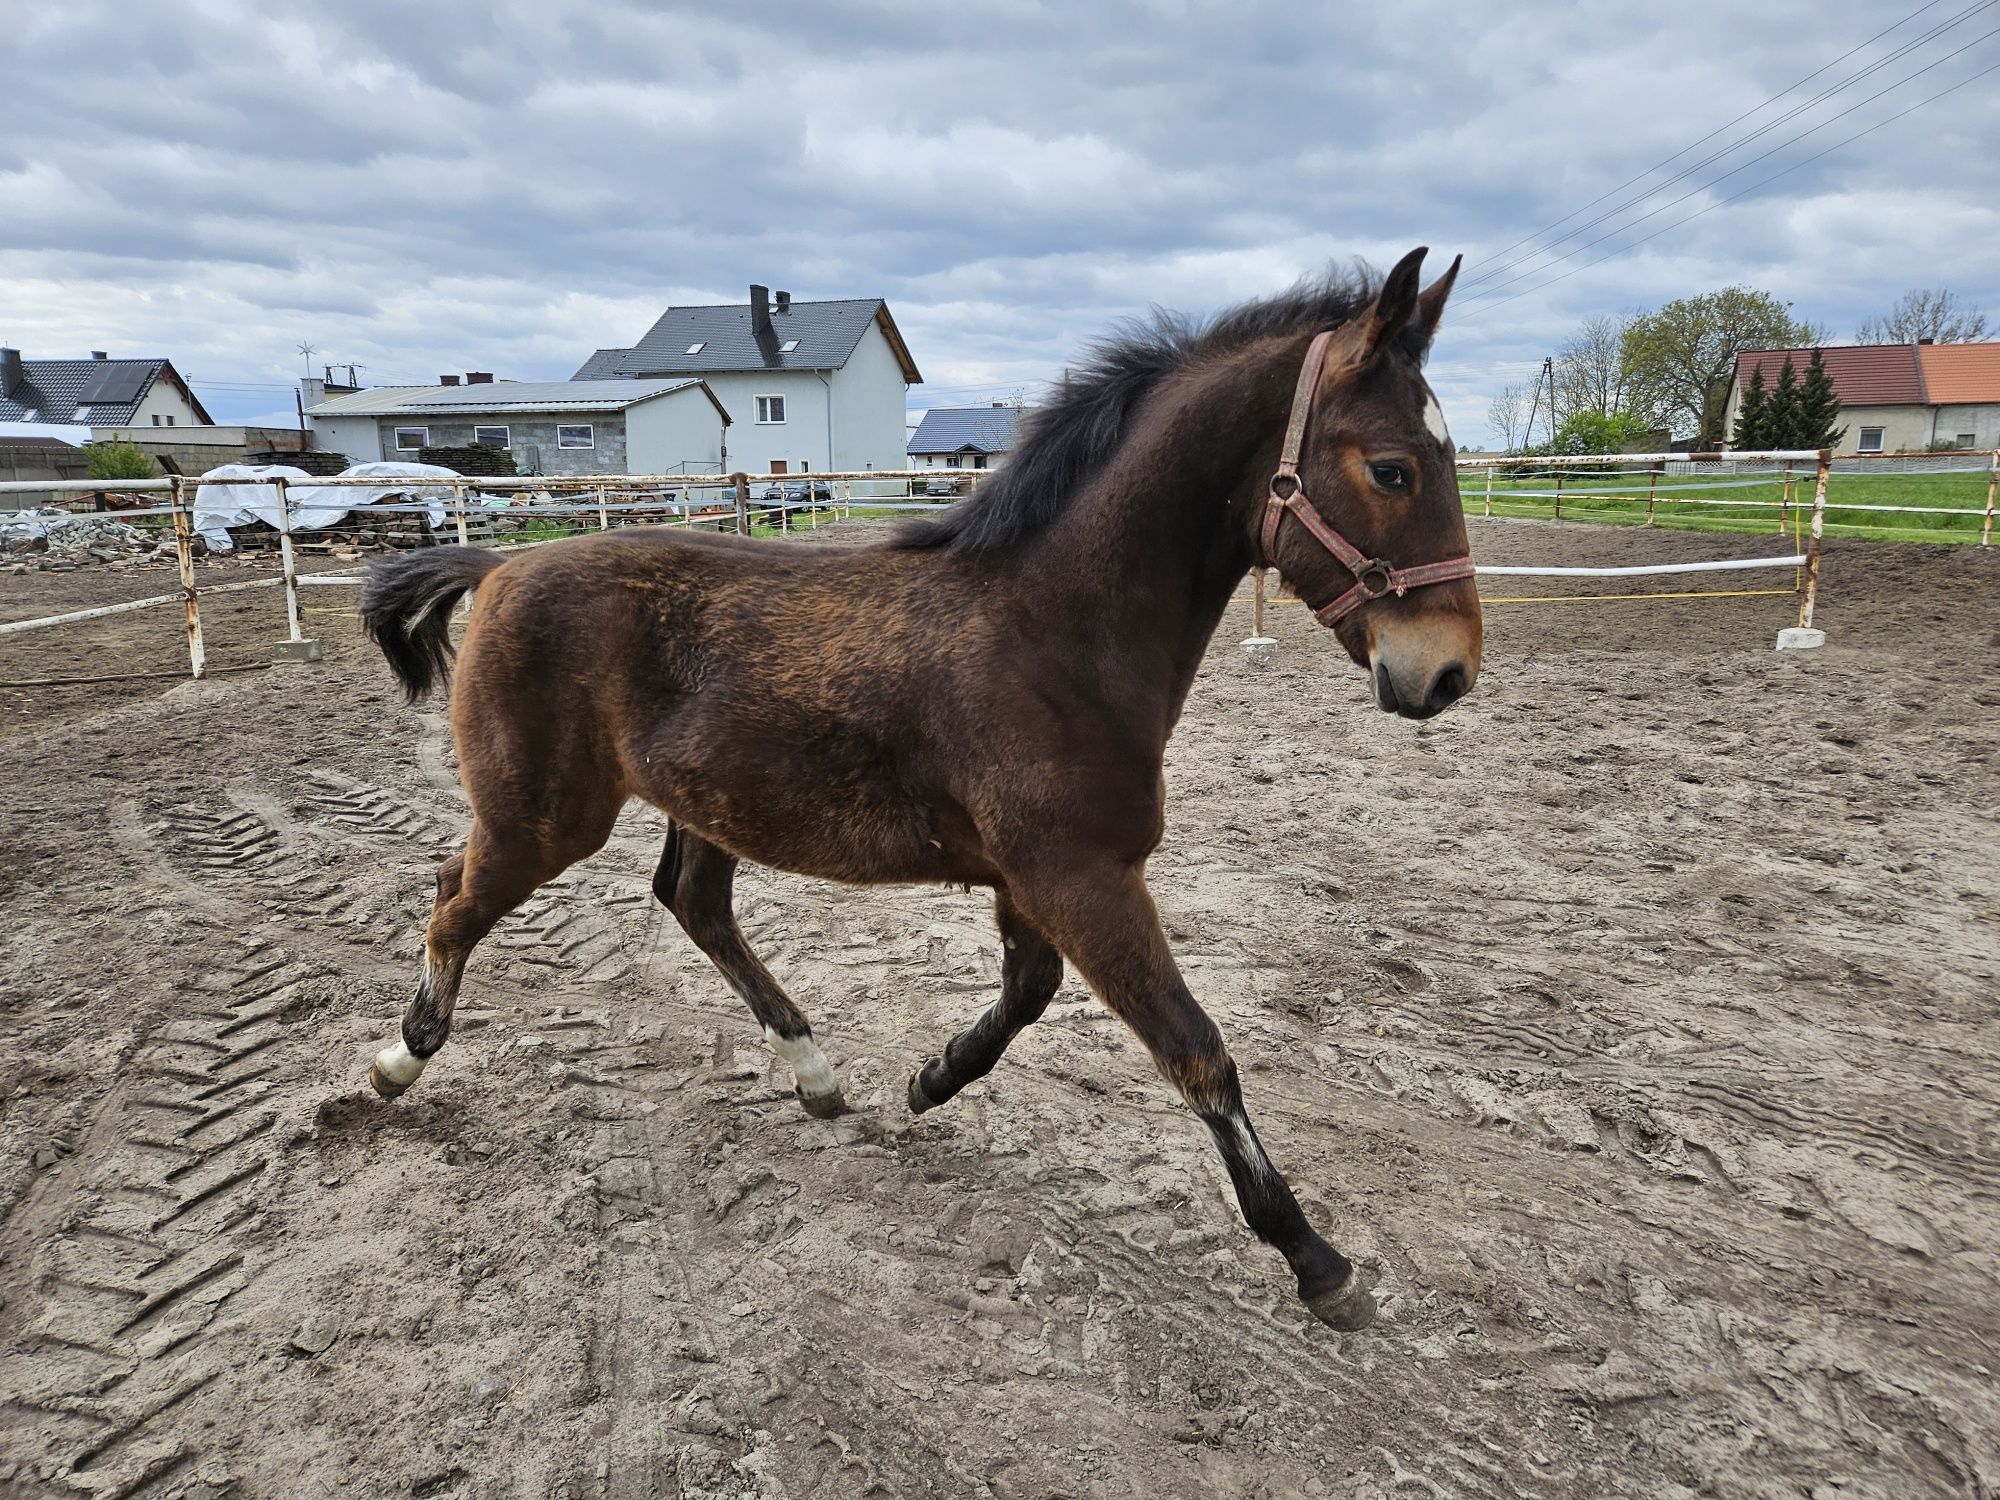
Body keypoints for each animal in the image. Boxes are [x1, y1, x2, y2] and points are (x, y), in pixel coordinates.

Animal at [364, 250, 1488, 1336]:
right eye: (1391, 467)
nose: (1444, 673)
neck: (1052, 633)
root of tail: (499, 567)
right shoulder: (1082, 876)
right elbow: (1195, 1050)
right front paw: (1316, 1261)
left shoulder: (1034, 878)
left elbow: (1027, 994)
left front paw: (930, 1077)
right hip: (545, 819)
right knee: (454, 900)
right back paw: (395, 1064)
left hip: (695, 804)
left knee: (690, 904)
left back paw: (816, 1076)